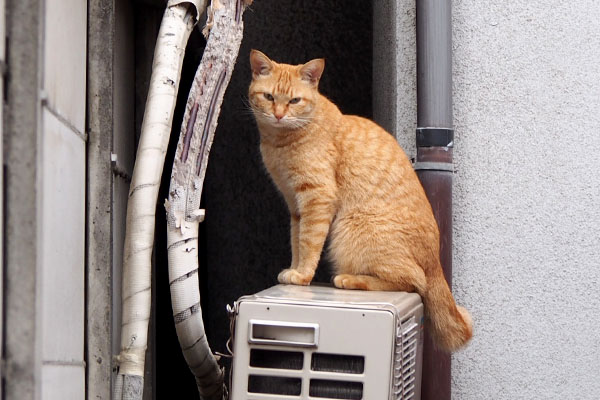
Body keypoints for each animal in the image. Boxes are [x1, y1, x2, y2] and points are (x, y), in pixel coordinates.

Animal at [248, 49, 474, 350]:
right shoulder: (295, 206)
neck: (280, 142)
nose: (279, 115)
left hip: (352, 229)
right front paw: (294, 271)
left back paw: (349, 279)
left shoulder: (317, 197)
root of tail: (435, 262)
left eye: (294, 100)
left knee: (415, 281)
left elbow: (309, 243)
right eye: (269, 97)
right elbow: (297, 242)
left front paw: (302, 276)